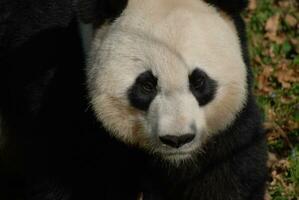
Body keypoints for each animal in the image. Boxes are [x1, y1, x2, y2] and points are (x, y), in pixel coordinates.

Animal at [77, 0, 270, 199]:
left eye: (198, 81)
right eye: (147, 85)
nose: (177, 139)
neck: (176, 161)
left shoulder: (232, 127)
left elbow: (228, 173)